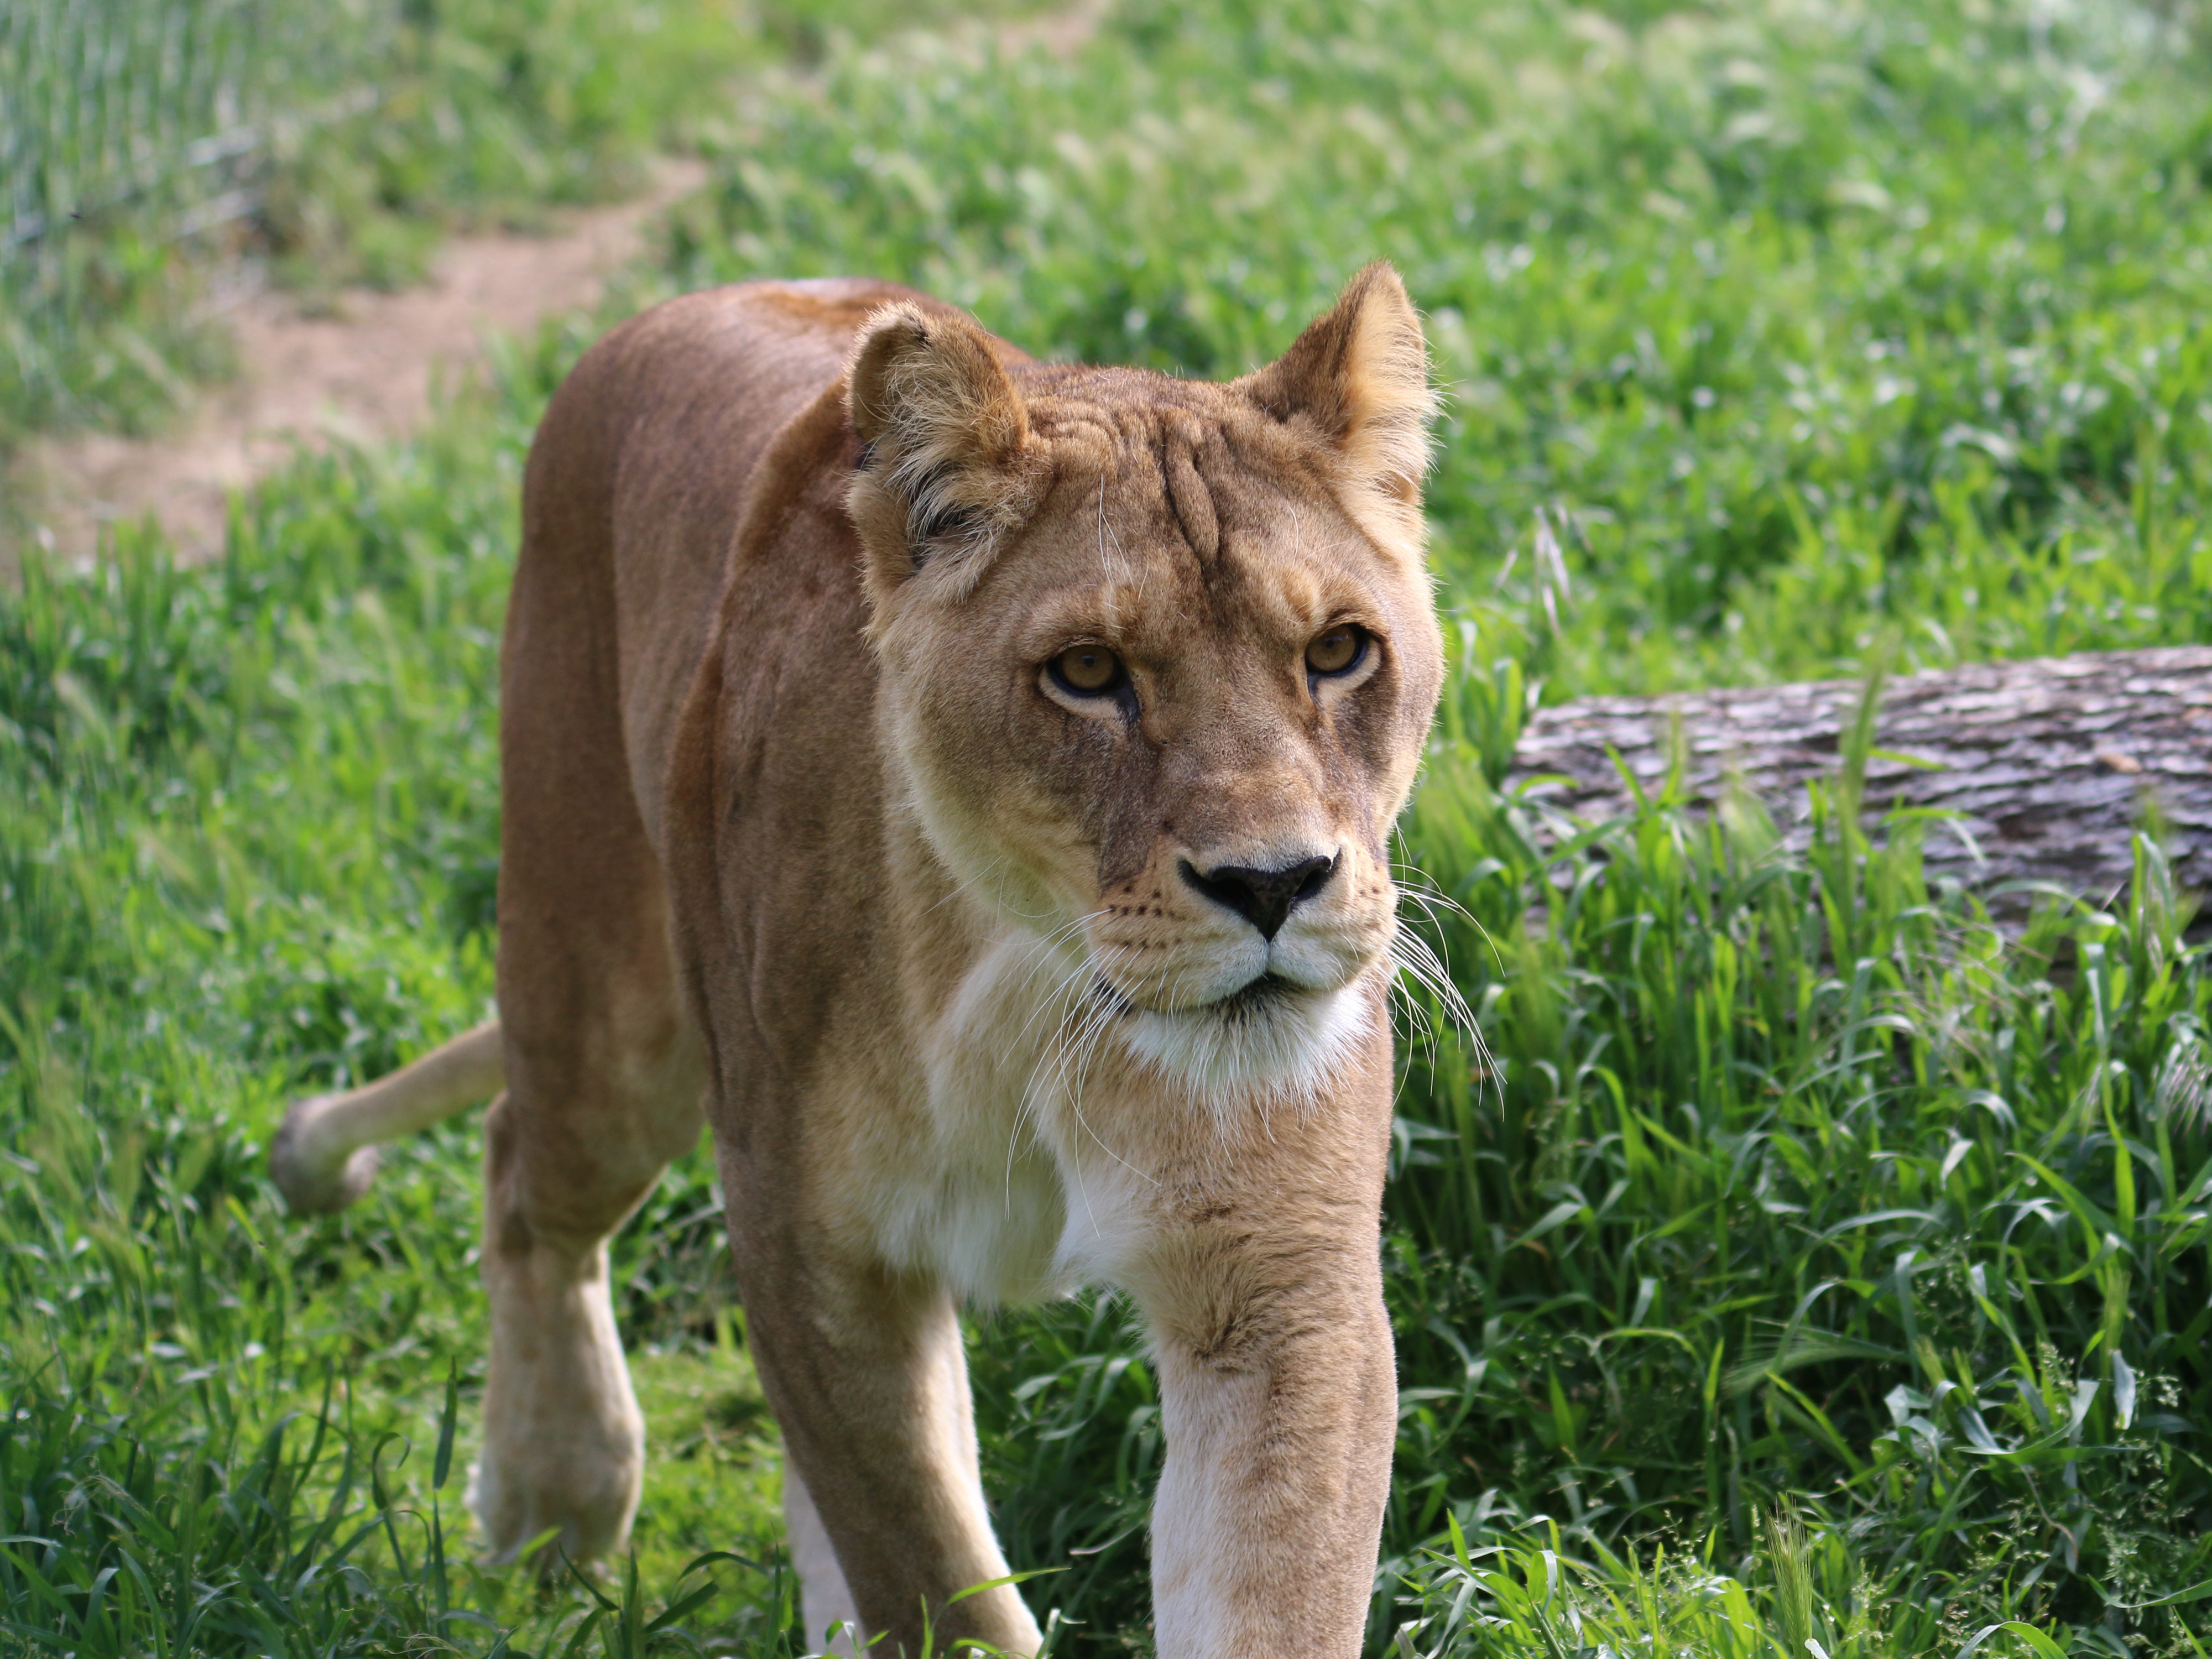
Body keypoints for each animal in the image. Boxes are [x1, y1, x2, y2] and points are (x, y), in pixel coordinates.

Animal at [270, 262, 1445, 1658]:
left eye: (1336, 651)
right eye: (1087, 672)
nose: (1271, 884)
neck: (1029, 990)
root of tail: (680, 303)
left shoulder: (1276, 1284)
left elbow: (1265, 1592)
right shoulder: (809, 1252)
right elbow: (929, 1582)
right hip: (607, 1022)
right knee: (520, 1167)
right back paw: (556, 1500)